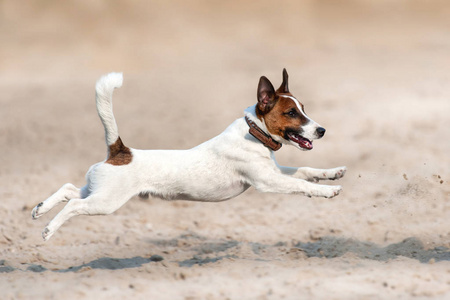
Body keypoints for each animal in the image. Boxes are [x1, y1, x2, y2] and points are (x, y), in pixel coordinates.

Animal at [32, 69, 348, 240]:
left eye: (304, 109)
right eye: (292, 113)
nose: (321, 130)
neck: (253, 133)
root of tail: (121, 151)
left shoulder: (274, 171)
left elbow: (306, 172)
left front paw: (332, 173)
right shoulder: (268, 181)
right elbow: (301, 184)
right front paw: (327, 192)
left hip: (97, 189)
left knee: (69, 190)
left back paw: (41, 209)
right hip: (106, 201)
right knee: (74, 205)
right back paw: (49, 227)